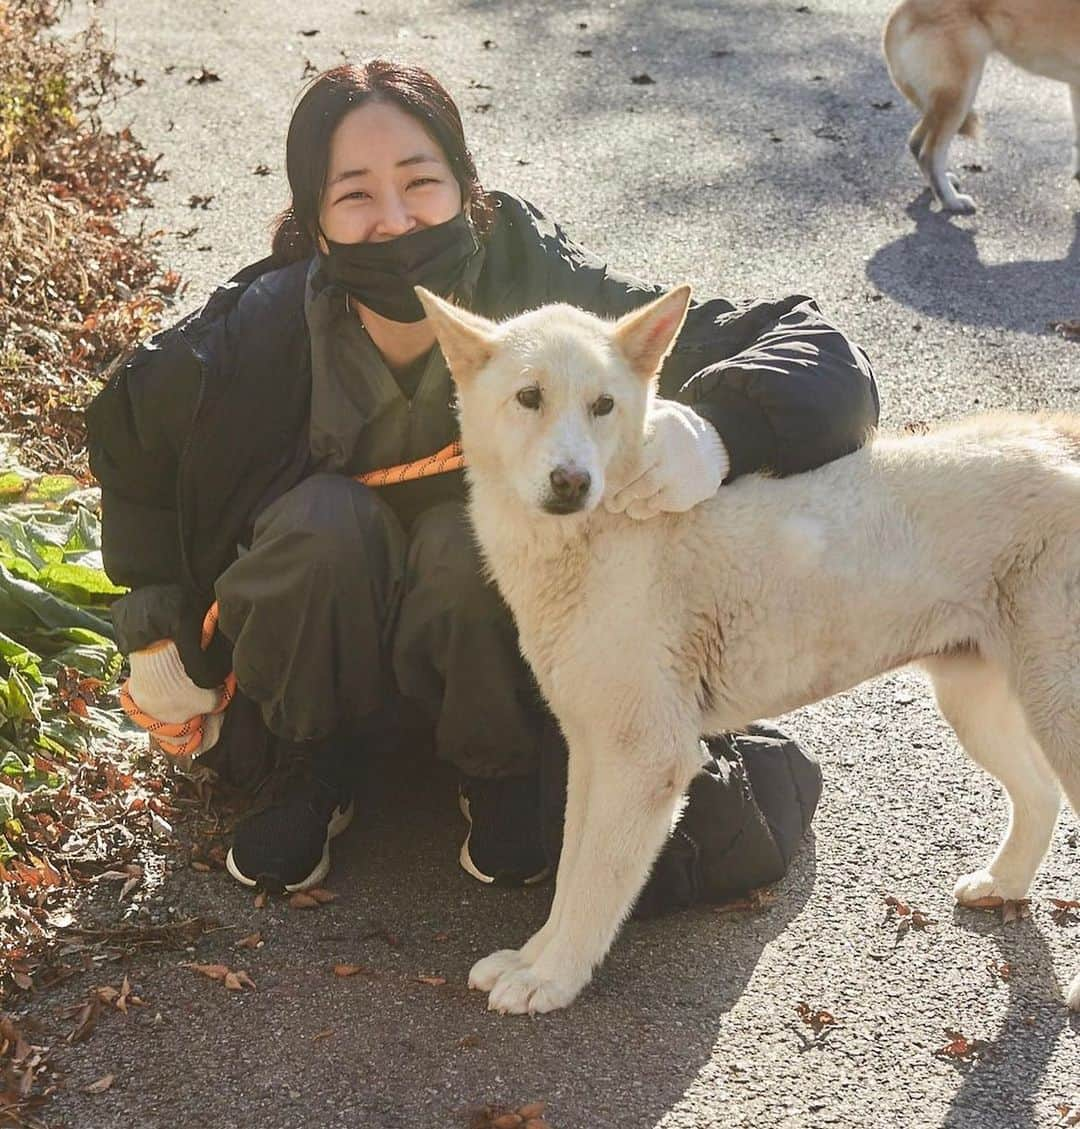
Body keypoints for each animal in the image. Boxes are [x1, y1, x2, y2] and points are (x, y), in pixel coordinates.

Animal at [415, 282, 1078, 1016]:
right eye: (529, 397)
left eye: (603, 405)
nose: (571, 481)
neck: (598, 535)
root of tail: (1058, 436)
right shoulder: (591, 749)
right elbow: (568, 872)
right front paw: (534, 957)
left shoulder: (645, 758)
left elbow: (592, 884)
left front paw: (554, 978)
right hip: (976, 702)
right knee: (1040, 796)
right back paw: (1005, 882)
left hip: (1055, 707)